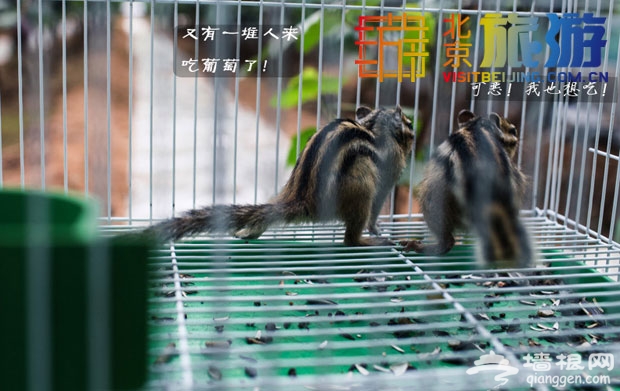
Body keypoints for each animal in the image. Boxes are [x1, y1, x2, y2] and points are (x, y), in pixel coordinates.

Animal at [140, 105, 412, 247]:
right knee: (350, 239)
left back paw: (247, 232)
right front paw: (376, 229)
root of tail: (303, 199)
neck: (373, 127)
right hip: (361, 188)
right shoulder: (390, 172)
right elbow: (378, 206)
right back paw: (367, 241)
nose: (414, 128)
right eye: (409, 123)